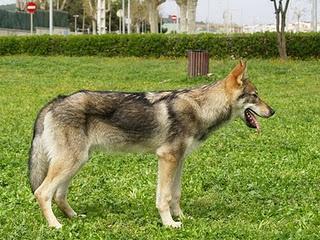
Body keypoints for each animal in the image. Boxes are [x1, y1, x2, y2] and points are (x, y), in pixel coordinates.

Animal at [28, 60, 276, 229]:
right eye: (255, 96)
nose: (273, 111)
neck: (200, 108)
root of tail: (55, 102)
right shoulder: (167, 158)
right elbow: (163, 197)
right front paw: (170, 224)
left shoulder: (179, 160)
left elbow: (175, 194)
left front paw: (182, 217)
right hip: (71, 162)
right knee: (42, 193)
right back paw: (55, 226)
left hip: (77, 162)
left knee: (59, 195)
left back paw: (73, 217)